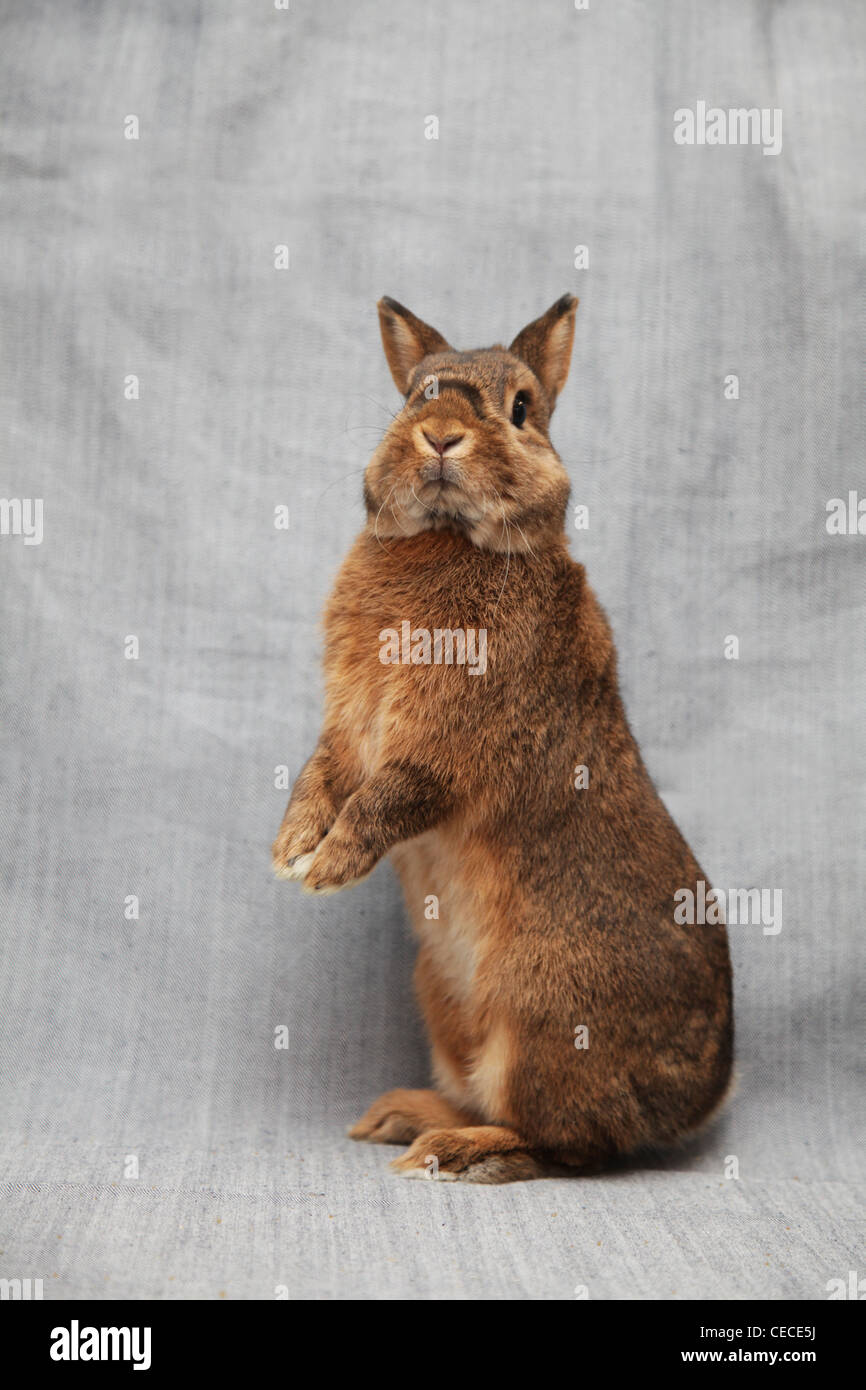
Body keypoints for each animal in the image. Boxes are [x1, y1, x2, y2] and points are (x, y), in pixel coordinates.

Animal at [272, 294, 733, 1183]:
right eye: (415, 395)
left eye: (522, 409)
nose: (441, 434)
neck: (449, 538)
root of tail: (704, 1096)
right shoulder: (347, 723)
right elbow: (322, 773)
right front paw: (289, 849)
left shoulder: (447, 751)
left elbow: (386, 797)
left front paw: (328, 869)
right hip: (445, 1005)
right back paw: (406, 1118)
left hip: (542, 1023)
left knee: (571, 1145)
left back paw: (456, 1154)